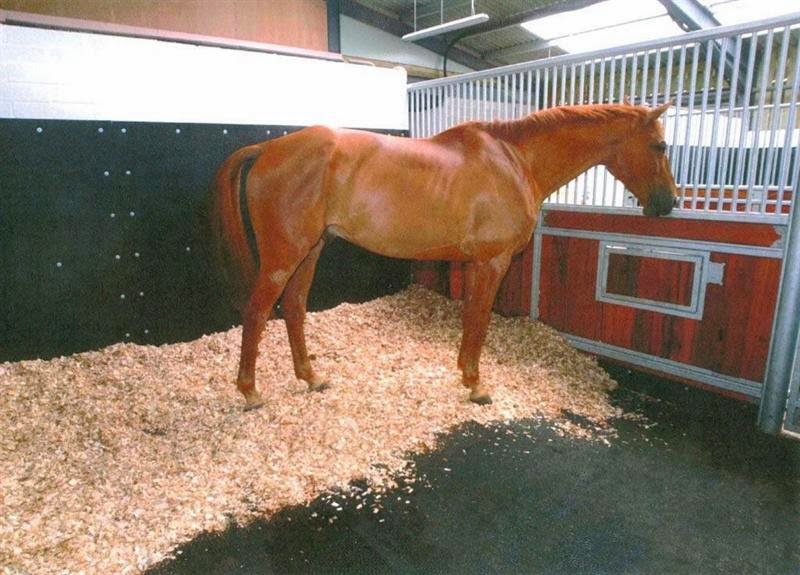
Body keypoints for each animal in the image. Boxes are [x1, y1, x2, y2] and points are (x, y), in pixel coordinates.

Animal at [209, 102, 677, 410]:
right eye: (660, 146)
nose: (669, 203)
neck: (514, 160)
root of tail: (267, 150)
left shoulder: (472, 263)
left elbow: (470, 317)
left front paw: (465, 375)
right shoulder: (493, 262)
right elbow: (480, 319)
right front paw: (477, 385)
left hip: (310, 251)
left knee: (294, 307)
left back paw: (311, 378)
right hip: (284, 257)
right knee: (257, 313)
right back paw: (250, 393)